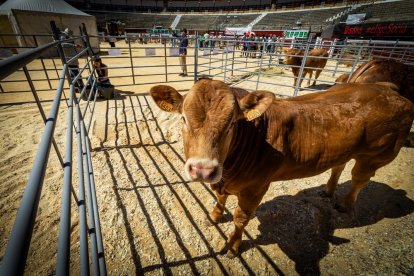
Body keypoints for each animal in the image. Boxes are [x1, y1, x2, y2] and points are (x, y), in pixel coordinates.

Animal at [150, 79, 414, 258]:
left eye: (232, 123)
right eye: (183, 118)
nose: (203, 170)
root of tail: (386, 89)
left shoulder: (256, 188)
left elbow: (241, 218)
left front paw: (232, 246)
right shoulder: (223, 180)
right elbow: (219, 197)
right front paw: (214, 215)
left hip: (376, 155)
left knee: (360, 179)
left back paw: (345, 204)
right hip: (345, 149)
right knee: (338, 166)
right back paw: (328, 192)